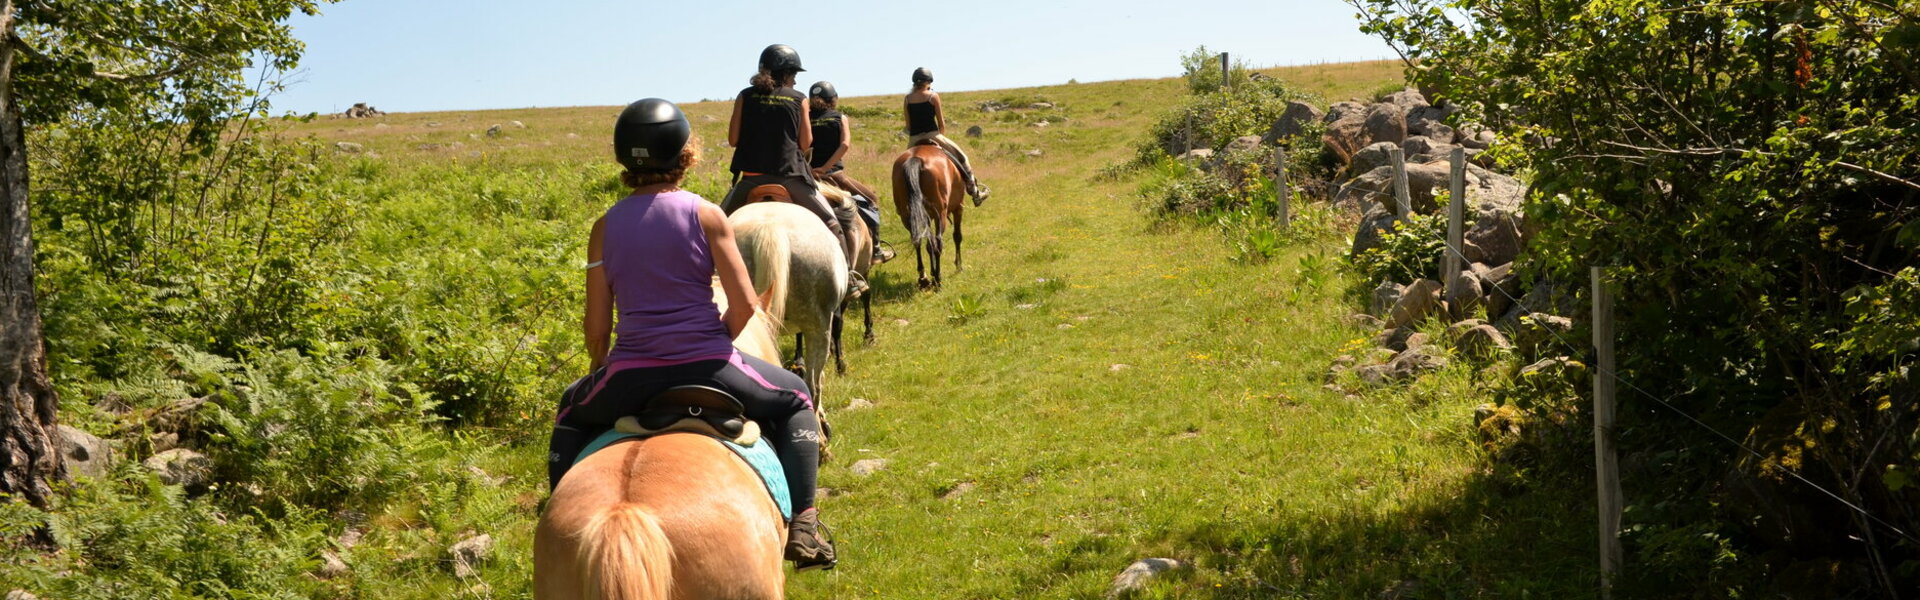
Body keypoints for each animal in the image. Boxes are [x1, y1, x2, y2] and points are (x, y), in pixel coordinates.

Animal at [890, 143, 967, 288]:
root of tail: (915, 159)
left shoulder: (927, 218)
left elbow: (928, 245)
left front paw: (931, 272)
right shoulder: (958, 208)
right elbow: (957, 236)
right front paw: (958, 266)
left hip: (907, 216)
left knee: (917, 241)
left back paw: (923, 278)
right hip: (940, 216)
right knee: (938, 243)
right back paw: (938, 279)